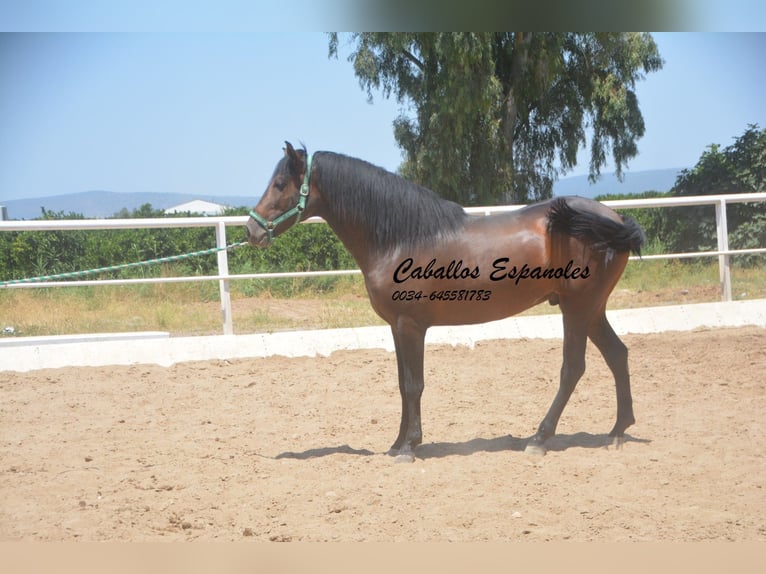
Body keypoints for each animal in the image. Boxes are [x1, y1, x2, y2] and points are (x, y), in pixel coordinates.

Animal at [248, 142, 648, 462]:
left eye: (280, 184)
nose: (251, 231)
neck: (401, 238)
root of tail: (613, 217)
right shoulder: (397, 327)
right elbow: (402, 383)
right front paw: (397, 443)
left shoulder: (411, 326)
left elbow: (414, 385)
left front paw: (409, 447)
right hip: (591, 310)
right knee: (618, 355)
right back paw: (617, 431)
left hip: (577, 309)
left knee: (573, 368)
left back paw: (539, 438)